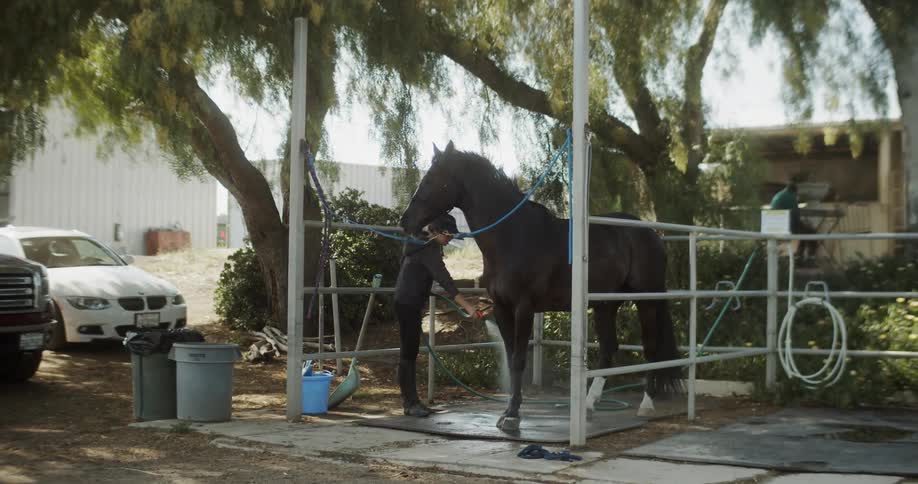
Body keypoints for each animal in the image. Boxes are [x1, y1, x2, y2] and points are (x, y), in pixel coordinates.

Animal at [399, 141, 682, 431]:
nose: (405, 221)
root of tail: (651, 234)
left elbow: (519, 360)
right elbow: (511, 357)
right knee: (608, 349)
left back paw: (646, 404)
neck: (513, 236)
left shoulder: (523, 308)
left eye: (432, 180)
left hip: (646, 301)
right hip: (605, 304)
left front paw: (512, 416)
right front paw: (508, 411)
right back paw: (589, 405)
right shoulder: (502, 309)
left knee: (651, 348)